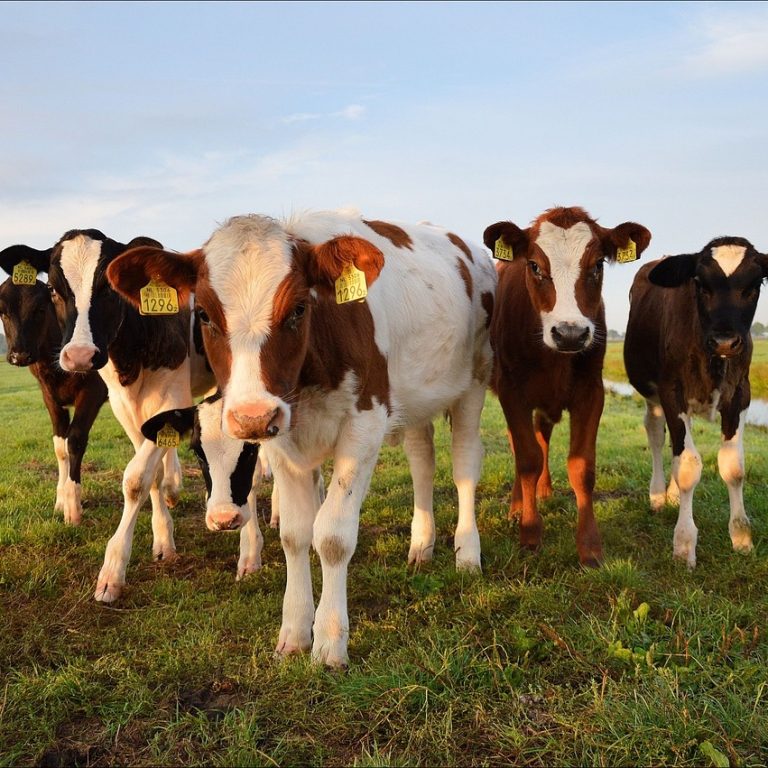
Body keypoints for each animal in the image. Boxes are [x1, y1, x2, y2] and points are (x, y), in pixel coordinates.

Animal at [0, 244, 108, 523]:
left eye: (40, 309)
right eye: (2, 311)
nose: (19, 355)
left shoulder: (93, 391)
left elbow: (75, 440)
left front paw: (74, 507)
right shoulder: (48, 395)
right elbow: (60, 445)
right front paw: (61, 500)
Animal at [46, 228, 214, 602]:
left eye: (109, 288)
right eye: (53, 289)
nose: (79, 356)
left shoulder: (170, 396)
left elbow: (136, 478)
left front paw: (112, 571)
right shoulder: (123, 406)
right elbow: (150, 474)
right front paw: (164, 538)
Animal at [106, 209, 497, 667]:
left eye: (297, 308)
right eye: (201, 314)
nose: (252, 415)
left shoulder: (365, 424)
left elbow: (332, 535)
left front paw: (329, 640)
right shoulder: (282, 438)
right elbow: (295, 534)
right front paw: (294, 631)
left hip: (474, 381)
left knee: (464, 465)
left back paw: (467, 553)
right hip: (416, 399)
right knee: (422, 461)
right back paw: (422, 544)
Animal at [484, 206, 651, 566]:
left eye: (598, 264)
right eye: (534, 266)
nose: (570, 334)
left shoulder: (591, 391)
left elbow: (581, 466)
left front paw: (590, 547)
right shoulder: (511, 391)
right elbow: (527, 459)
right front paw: (530, 534)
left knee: (542, 434)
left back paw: (544, 490)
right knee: (521, 445)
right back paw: (517, 506)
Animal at [623, 236, 767, 567]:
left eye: (755, 285)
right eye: (700, 284)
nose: (725, 341)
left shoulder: (740, 394)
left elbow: (733, 467)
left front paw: (741, 537)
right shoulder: (671, 393)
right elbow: (688, 466)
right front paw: (684, 544)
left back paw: (673, 495)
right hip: (653, 395)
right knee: (656, 434)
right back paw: (658, 495)